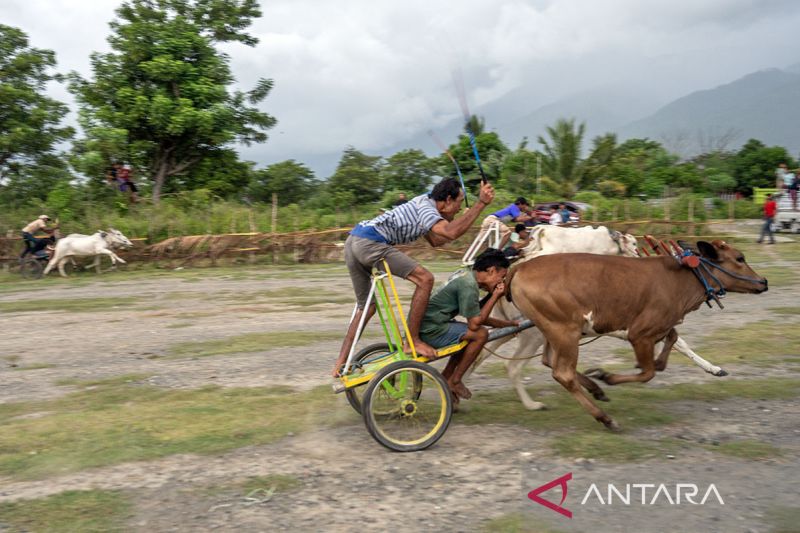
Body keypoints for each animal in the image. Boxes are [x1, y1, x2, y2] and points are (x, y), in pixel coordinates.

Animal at [466, 222, 728, 410]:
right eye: (634, 244)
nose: (638, 257)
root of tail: (508, 281)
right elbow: (678, 342)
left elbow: (676, 342)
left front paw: (713, 368)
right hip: (533, 335)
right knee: (514, 366)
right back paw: (533, 404)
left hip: (513, 330)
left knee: (480, 354)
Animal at [510, 239, 764, 430]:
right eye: (740, 258)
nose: (764, 281)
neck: (680, 281)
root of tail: (520, 268)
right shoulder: (640, 334)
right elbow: (648, 372)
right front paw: (607, 376)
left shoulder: (661, 327)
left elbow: (671, 343)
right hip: (564, 331)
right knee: (563, 373)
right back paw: (605, 417)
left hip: (553, 331)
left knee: (550, 361)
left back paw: (595, 390)